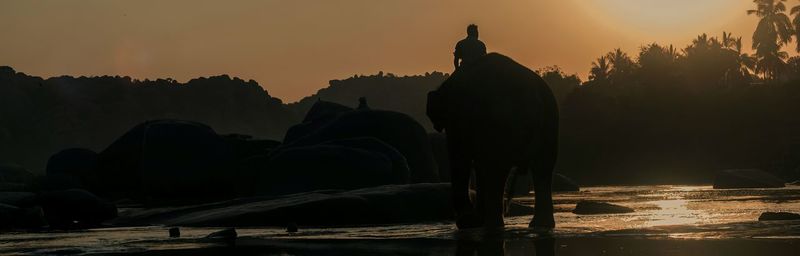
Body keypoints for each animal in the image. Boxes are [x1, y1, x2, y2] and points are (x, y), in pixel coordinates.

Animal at [428, 53, 560, 229]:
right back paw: (540, 225)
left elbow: (460, 158)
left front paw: (468, 222)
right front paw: (474, 221)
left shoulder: (456, 121)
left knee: (496, 168)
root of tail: (533, 98)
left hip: (502, 123)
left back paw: (493, 225)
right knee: (543, 166)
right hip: (550, 122)